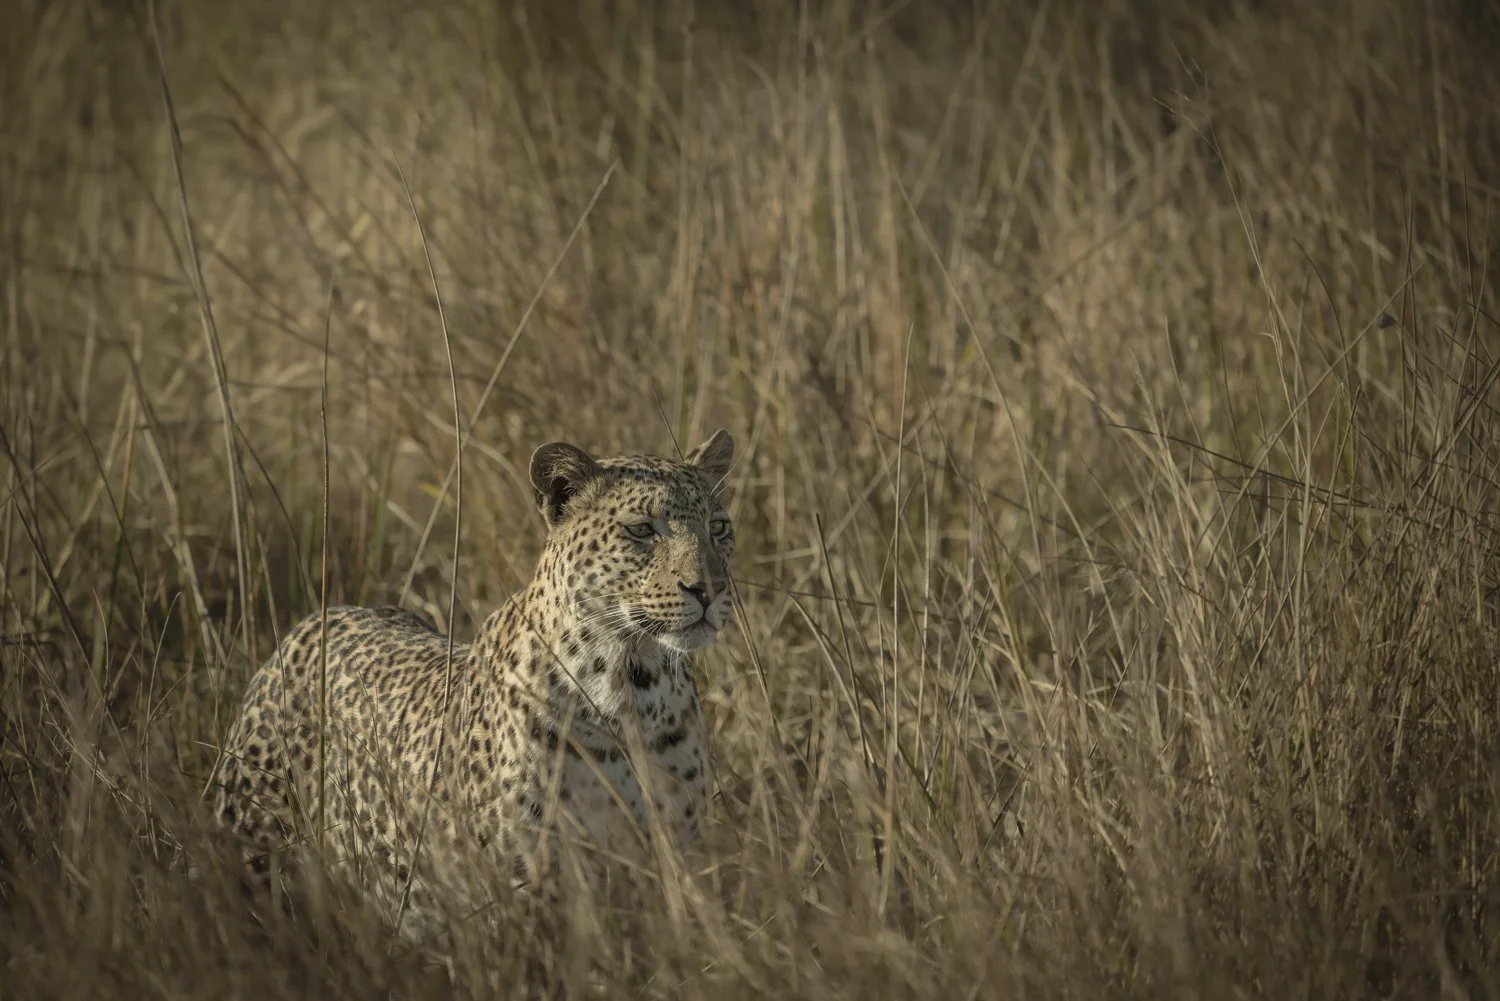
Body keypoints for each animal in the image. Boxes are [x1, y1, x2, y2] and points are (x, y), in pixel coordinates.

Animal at [210, 429, 736, 942]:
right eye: (642, 530)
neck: (632, 688)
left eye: (718, 527)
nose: (709, 589)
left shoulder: (679, 857)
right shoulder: (529, 889)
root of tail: (312, 622)